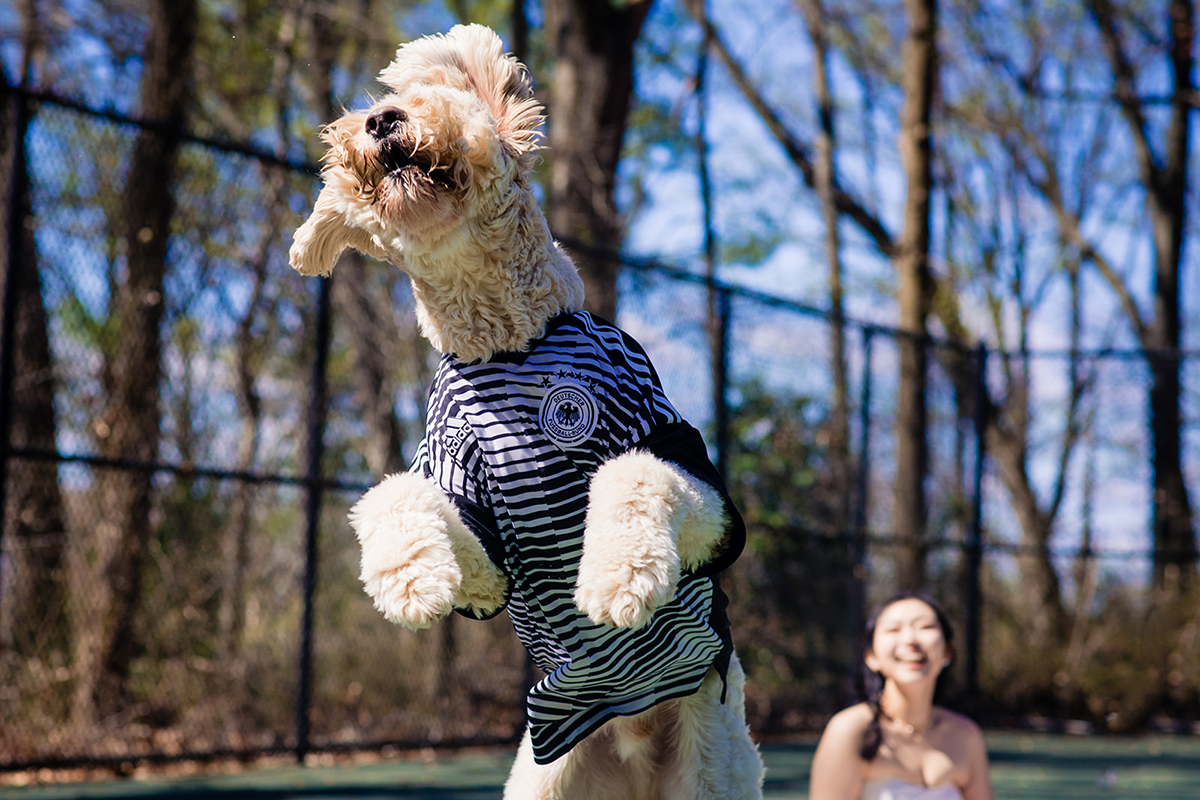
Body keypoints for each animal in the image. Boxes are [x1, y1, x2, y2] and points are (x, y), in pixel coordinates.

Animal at [285, 25, 763, 800]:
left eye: (435, 95)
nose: (380, 121)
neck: (507, 342)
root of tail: (635, 750)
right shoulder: (482, 539)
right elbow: (399, 496)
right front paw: (408, 577)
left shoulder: (692, 474)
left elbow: (635, 474)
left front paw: (617, 576)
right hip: (547, 779)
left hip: (712, 766)